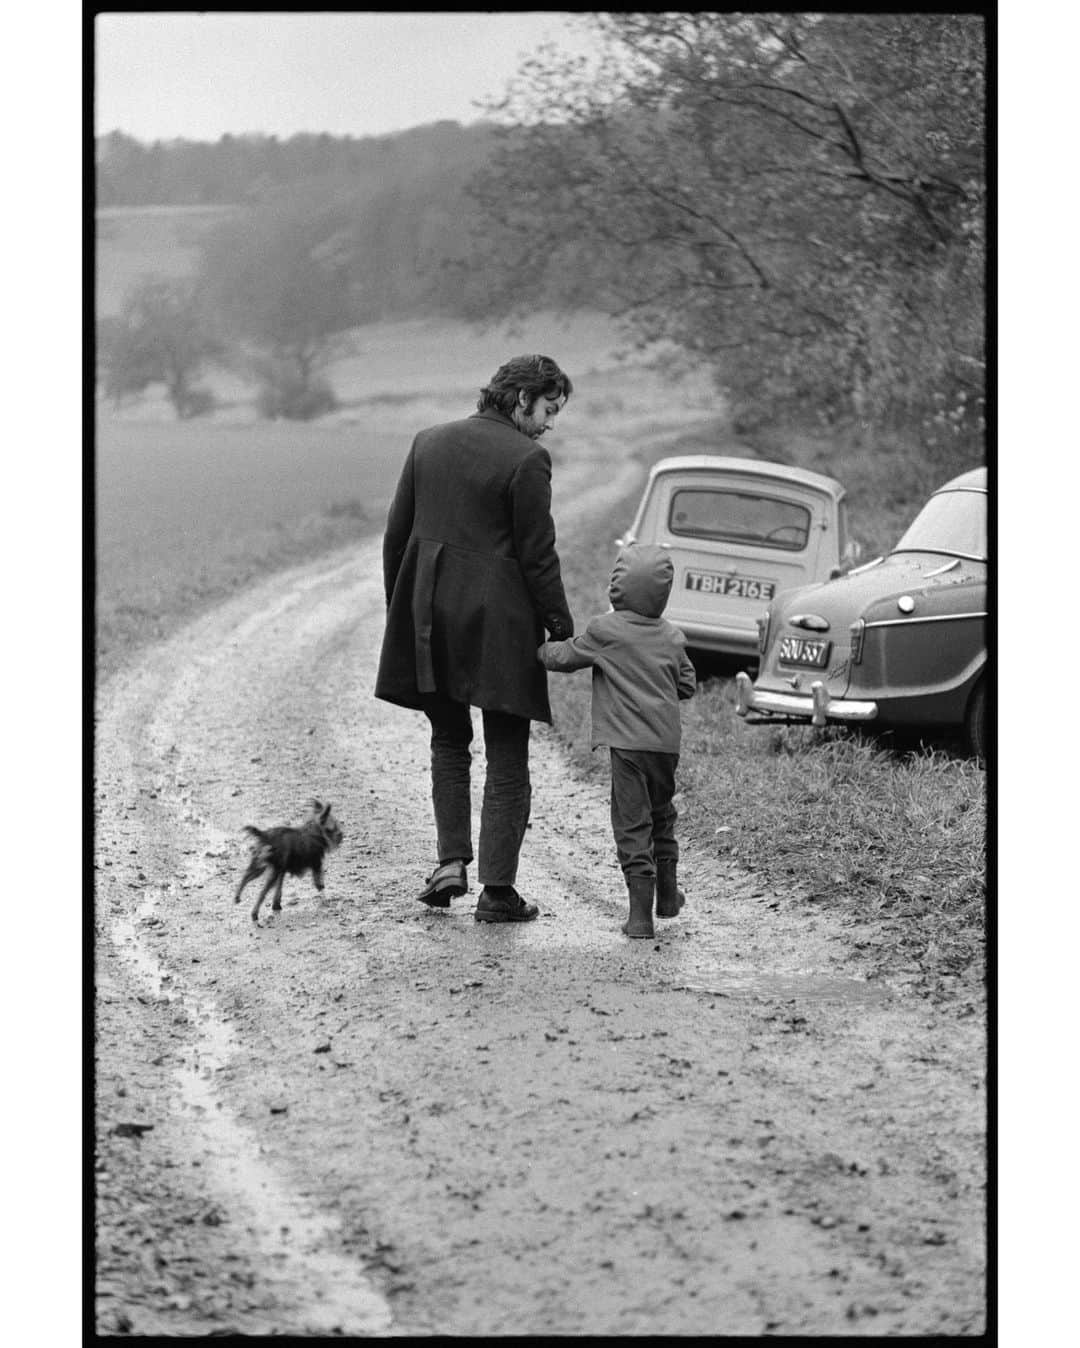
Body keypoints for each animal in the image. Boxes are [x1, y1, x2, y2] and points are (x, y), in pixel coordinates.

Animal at [233, 792, 343, 922]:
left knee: (245, 877)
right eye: (334, 827)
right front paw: (322, 893)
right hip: (271, 872)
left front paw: (276, 905)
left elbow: (279, 889)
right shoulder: (316, 863)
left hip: (259, 866)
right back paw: (254, 914)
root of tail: (264, 835)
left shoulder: (282, 869)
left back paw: (237, 897)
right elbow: (319, 881)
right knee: (262, 892)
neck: (315, 831)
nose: (341, 835)